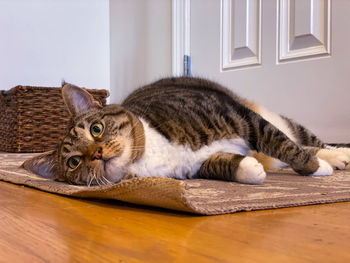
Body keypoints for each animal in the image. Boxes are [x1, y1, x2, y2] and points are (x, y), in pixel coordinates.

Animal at [21, 77, 350, 187]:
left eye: (96, 129)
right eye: (74, 162)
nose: (97, 153)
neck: (151, 152)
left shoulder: (239, 116)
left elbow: (283, 145)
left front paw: (316, 168)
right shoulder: (192, 168)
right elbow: (218, 164)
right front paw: (249, 168)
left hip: (271, 116)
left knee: (301, 139)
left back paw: (336, 156)